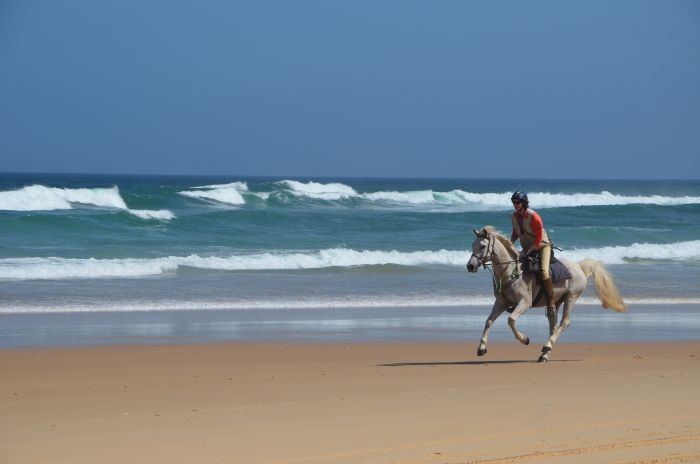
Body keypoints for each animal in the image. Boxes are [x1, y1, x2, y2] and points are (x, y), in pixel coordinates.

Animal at [468, 226, 628, 362]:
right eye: (472, 245)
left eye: (482, 246)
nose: (470, 266)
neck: (510, 272)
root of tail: (579, 267)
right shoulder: (501, 303)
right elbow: (489, 321)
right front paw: (481, 348)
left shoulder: (524, 303)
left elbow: (511, 320)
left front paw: (525, 339)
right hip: (556, 302)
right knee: (553, 324)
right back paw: (544, 354)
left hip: (571, 297)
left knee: (564, 322)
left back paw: (547, 346)